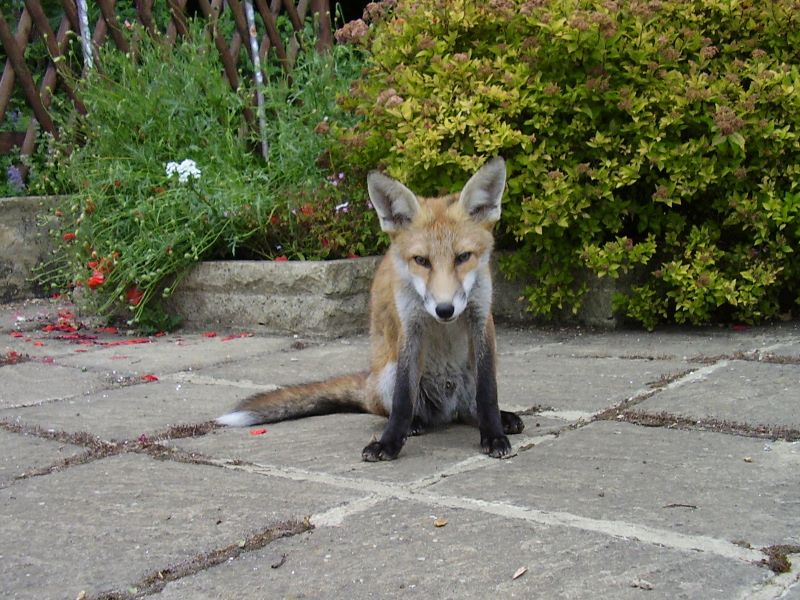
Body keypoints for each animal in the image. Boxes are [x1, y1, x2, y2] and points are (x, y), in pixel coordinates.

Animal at [217, 156, 524, 460]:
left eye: (463, 257)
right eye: (421, 260)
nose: (445, 309)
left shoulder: (481, 319)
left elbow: (488, 394)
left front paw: (494, 434)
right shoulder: (409, 327)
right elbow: (402, 400)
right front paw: (389, 443)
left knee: (469, 410)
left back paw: (501, 418)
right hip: (388, 373)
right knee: (397, 409)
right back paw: (414, 424)